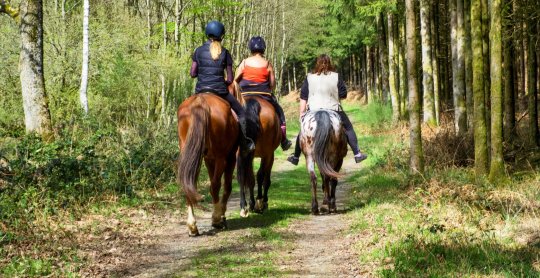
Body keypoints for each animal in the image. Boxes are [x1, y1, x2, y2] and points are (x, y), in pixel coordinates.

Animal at [177, 94, 238, 237]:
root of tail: (200, 100)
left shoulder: (209, 159)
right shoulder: (230, 158)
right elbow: (226, 186)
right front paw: (222, 214)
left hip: (191, 153)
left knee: (188, 183)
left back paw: (192, 226)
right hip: (222, 158)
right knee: (215, 185)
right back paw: (216, 219)